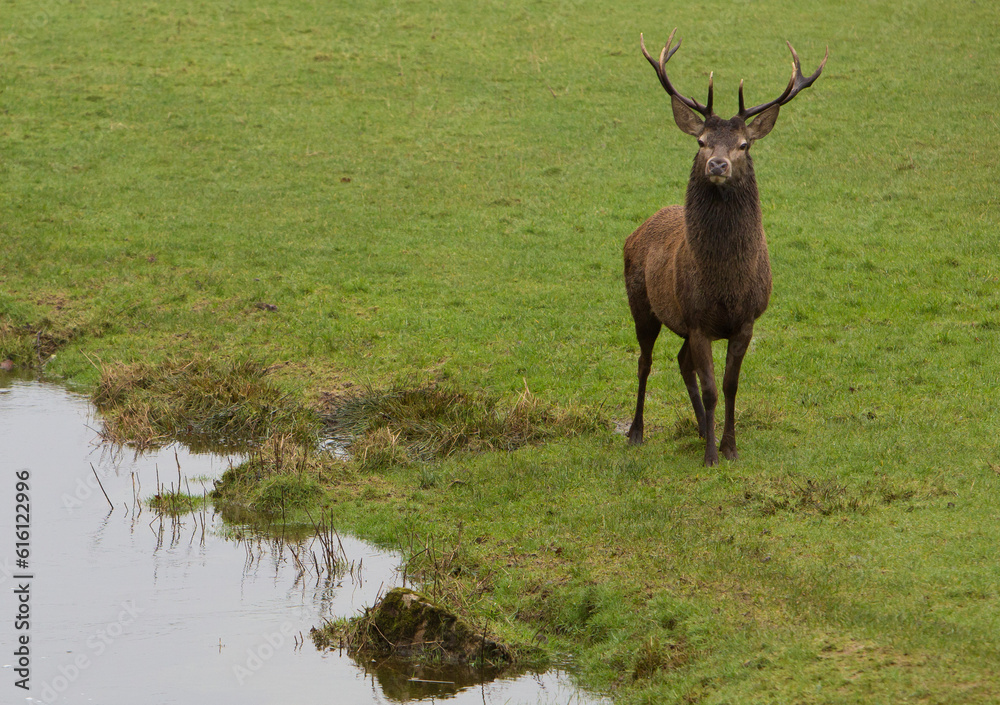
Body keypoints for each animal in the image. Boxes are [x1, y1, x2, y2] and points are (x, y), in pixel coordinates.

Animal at [624, 29, 826, 466]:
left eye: (744, 144)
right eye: (701, 140)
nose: (717, 164)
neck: (726, 284)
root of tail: (638, 229)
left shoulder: (745, 320)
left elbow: (730, 386)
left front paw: (729, 447)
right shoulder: (698, 320)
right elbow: (712, 388)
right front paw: (711, 457)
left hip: (679, 322)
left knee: (681, 362)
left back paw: (703, 429)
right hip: (641, 304)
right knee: (645, 362)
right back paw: (636, 432)